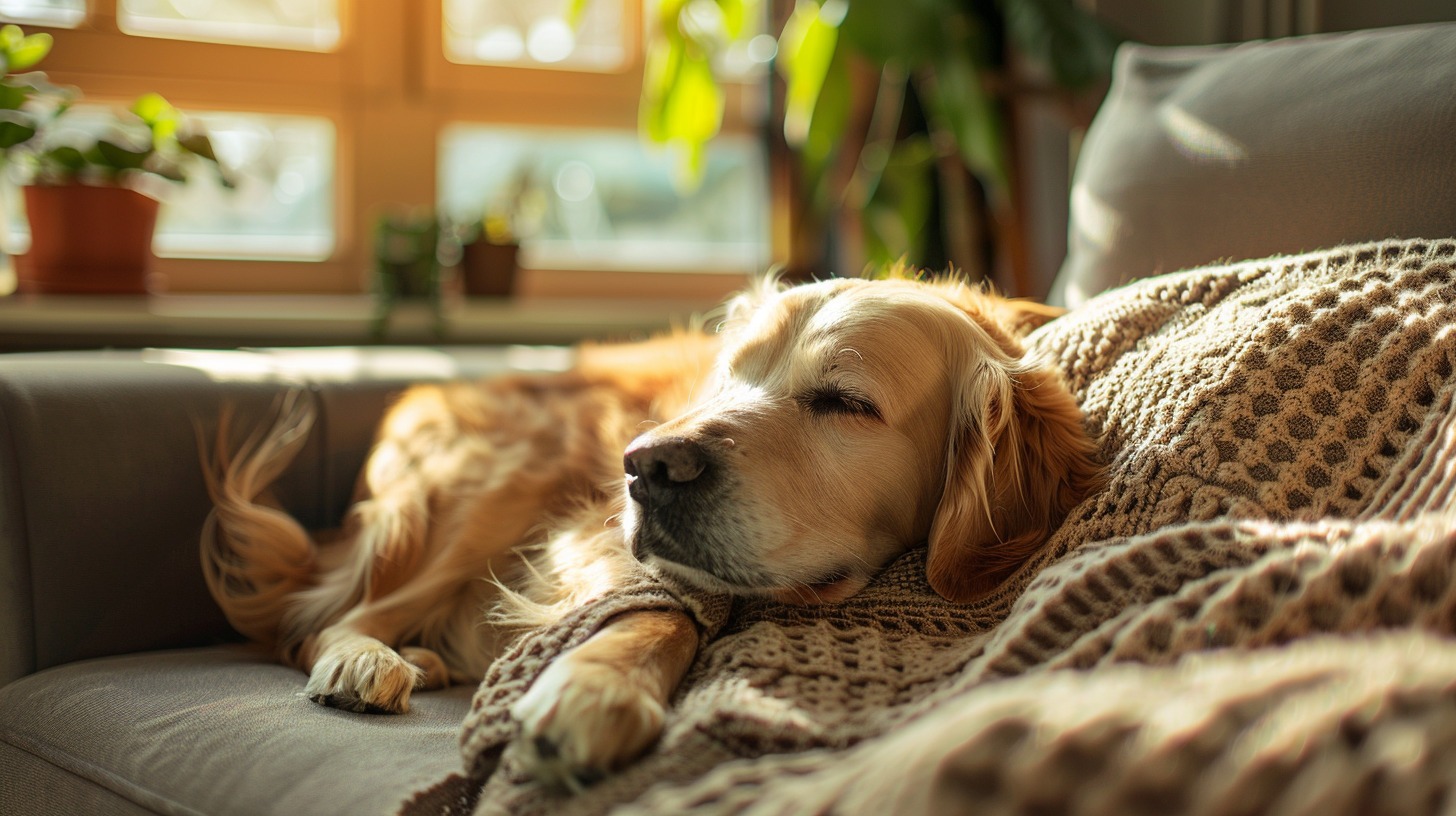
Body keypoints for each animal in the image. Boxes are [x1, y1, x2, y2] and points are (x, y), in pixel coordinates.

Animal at [196, 273, 1100, 786]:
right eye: (727, 375)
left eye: (846, 402)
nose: (645, 466)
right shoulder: (585, 534)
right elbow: (661, 608)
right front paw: (596, 689)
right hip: (493, 487)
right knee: (319, 619)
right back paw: (367, 660)